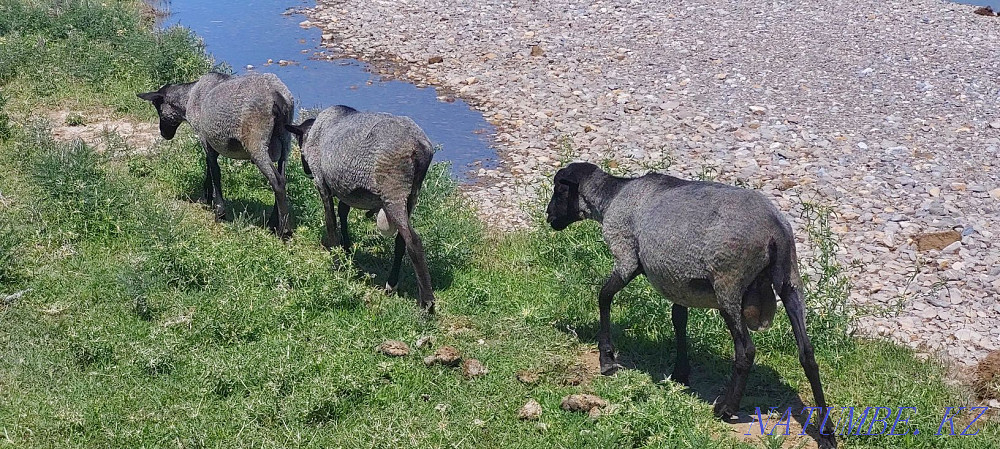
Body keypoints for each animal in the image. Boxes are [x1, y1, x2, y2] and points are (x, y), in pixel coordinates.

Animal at [137, 72, 295, 238]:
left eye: (160, 110)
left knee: (277, 181)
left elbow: (215, 171)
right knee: (282, 177)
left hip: (256, 141)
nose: (164, 134)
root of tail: (277, 95)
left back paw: (283, 230)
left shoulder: (205, 138)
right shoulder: (212, 142)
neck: (189, 98)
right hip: (285, 140)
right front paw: (206, 198)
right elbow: (209, 167)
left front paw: (219, 212)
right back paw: (273, 221)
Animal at [285, 106, 436, 313]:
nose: (306, 170)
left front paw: (336, 261)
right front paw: (346, 250)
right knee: (401, 241)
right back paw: (391, 284)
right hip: (412, 194)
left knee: (413, 241)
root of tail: (419, 145)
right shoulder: (346, 189)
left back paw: (427, 303)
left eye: (299, 143)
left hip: (393, 189)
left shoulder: (322, 182)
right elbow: (343, 213)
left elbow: (331, 221)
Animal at [546, 162, 836, 448]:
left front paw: (607, 359)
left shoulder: (626, 255)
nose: (549, 217)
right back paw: (826, 433)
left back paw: (725, 409)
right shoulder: (678, 283)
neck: (612, 197)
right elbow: (679, 319)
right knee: (807, 353)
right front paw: (680, 374)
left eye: (559, 189)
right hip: (790, 280)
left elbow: (604, 297)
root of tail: (775, 231)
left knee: (746, 351)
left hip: (728, 284)